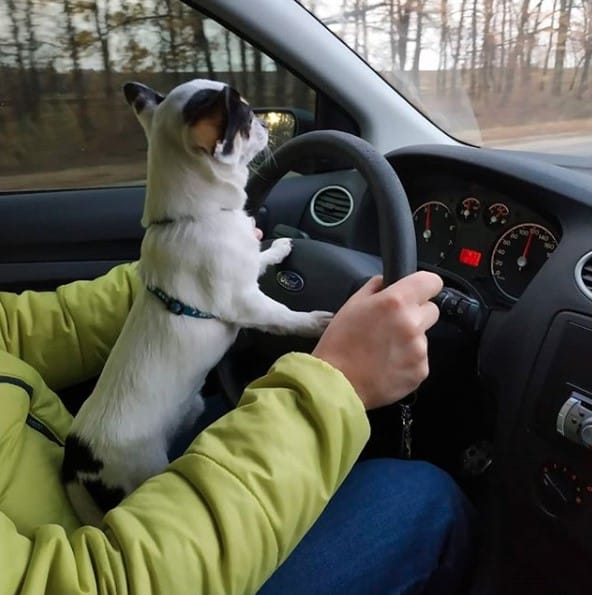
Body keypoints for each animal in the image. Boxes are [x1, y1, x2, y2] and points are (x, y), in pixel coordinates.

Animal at [62, 79, 333, 527]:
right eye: (246, 117)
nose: (266, 122)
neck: (191, 219)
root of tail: (76, 462)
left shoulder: (247, 266)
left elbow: (260, 257)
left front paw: (278, 247)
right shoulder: (246, 303)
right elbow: (283, 317)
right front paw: (315, 322)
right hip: (141, 469)